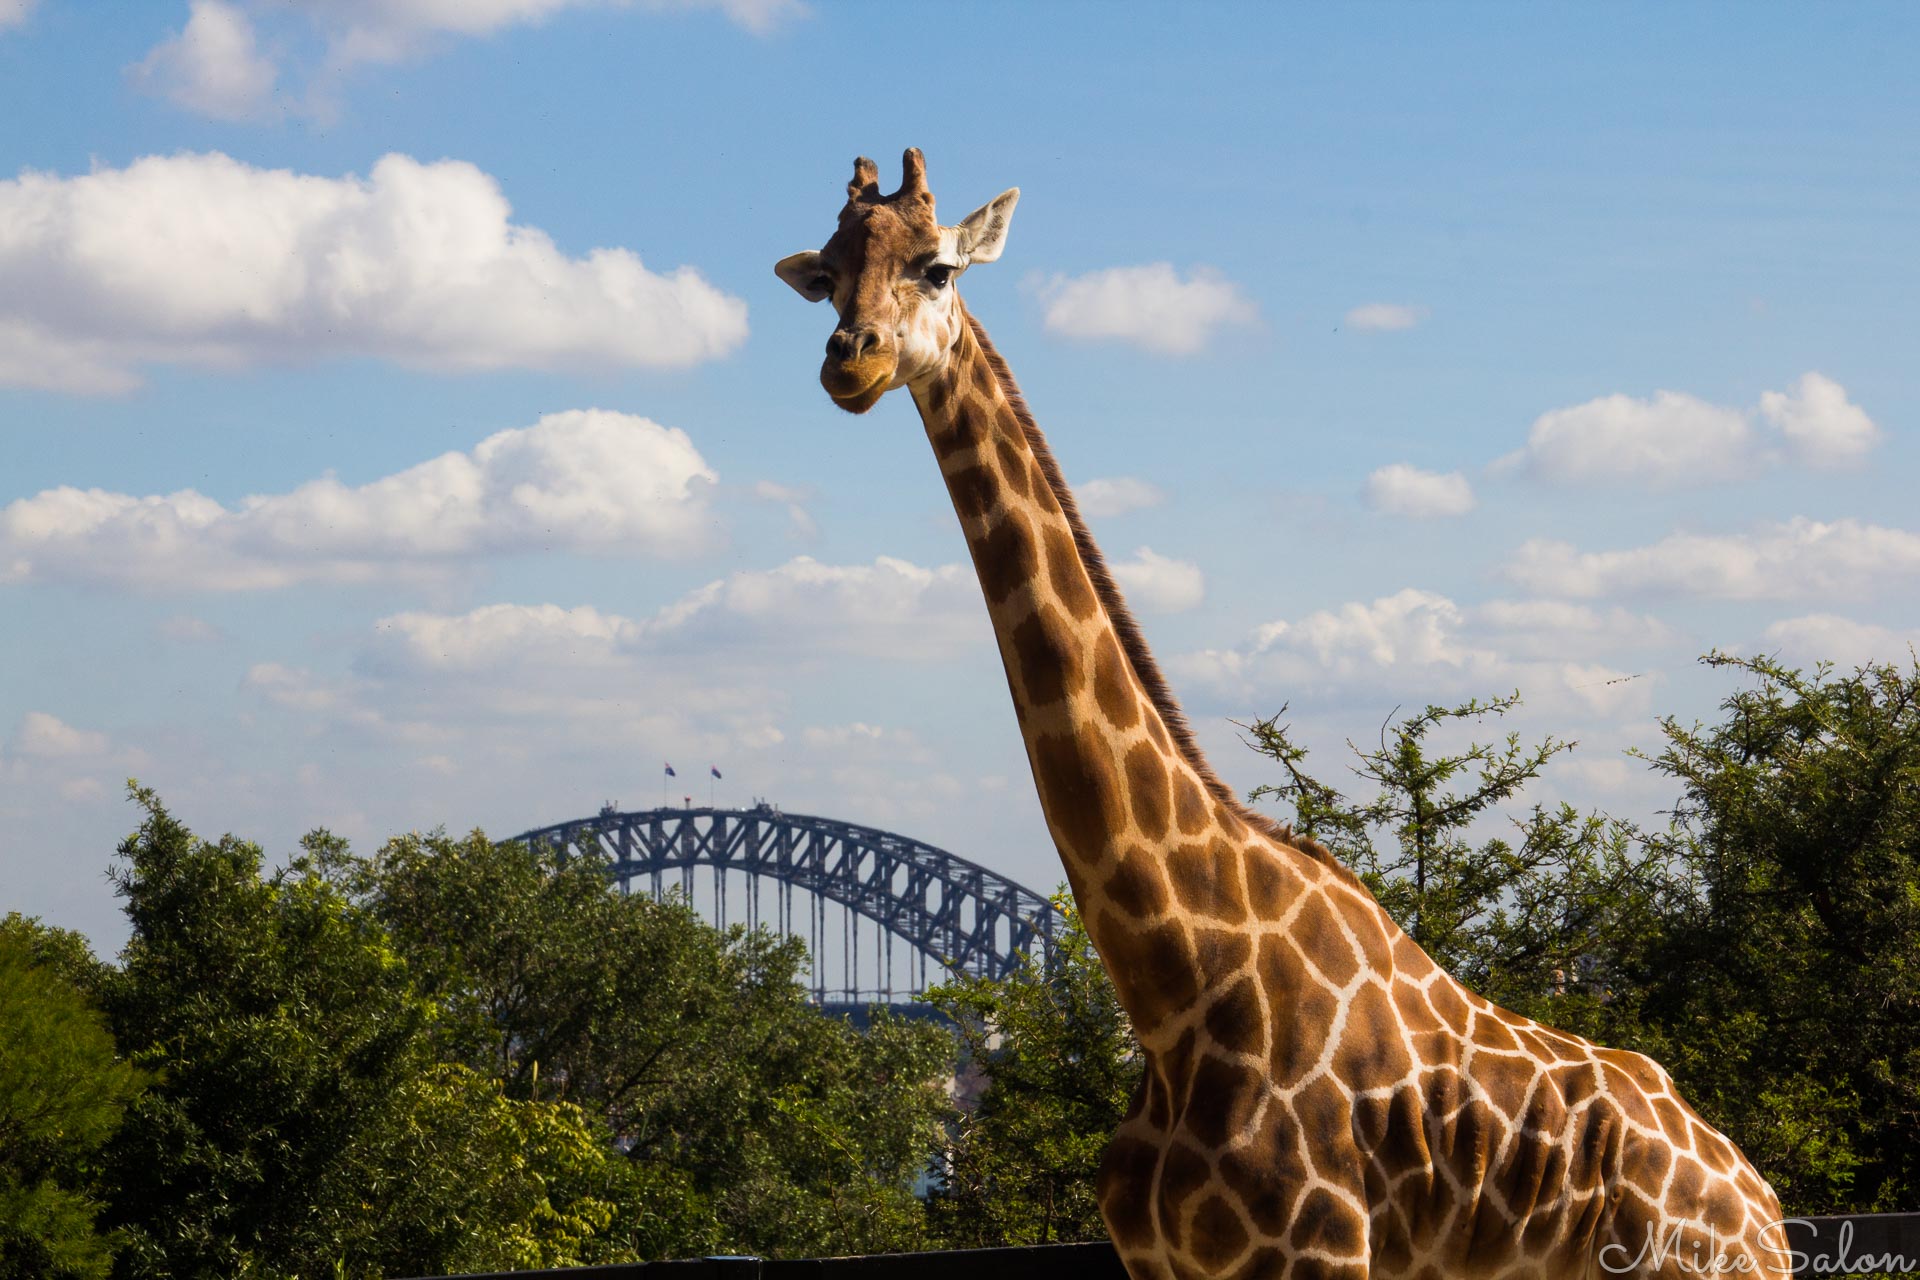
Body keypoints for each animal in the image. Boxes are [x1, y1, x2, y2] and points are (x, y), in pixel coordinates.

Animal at [775, 149, 1794, 1280]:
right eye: (826, 276)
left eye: (939, 267)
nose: (852, 362)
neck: (1180, 983)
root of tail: (1762, 1200)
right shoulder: (1157, 1262)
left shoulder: (1316, 1252)